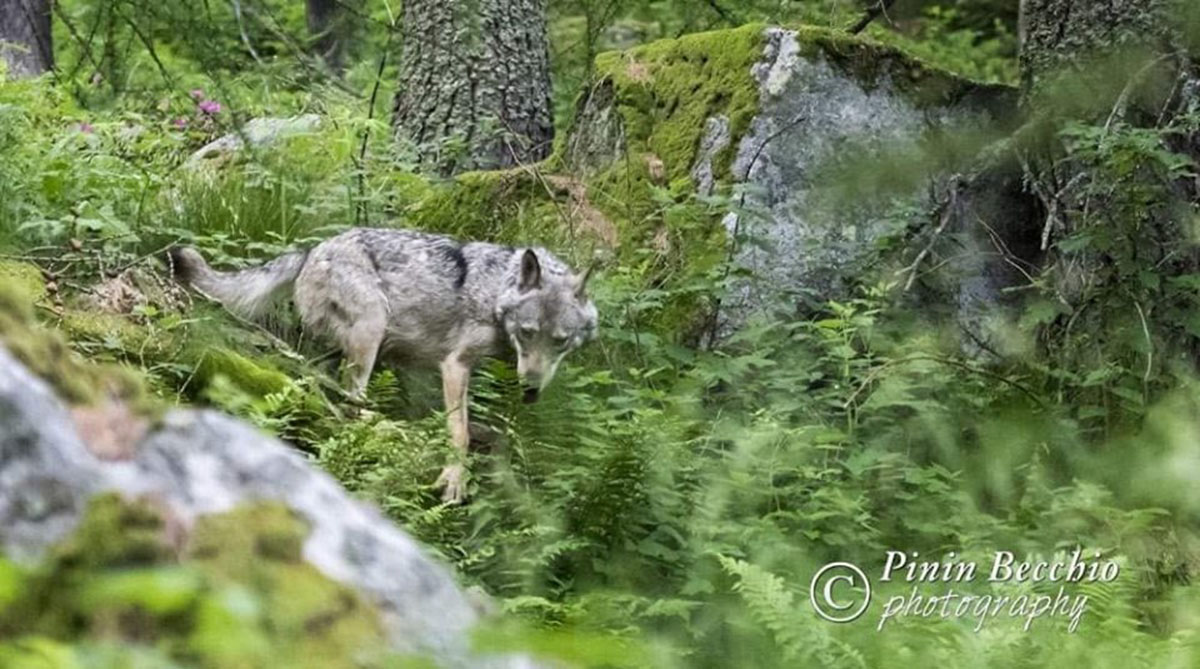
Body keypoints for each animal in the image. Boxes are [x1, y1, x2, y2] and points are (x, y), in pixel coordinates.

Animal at [166, 228, 597, 503]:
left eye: (560, 341)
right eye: (526, 333)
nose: (530, 389)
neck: (496, 292)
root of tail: (313, 249)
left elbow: (489, 434)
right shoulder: (454, 365)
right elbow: (458, 434)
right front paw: (454, 478)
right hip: (372, 327)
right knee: (351, 404)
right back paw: (390, 425)